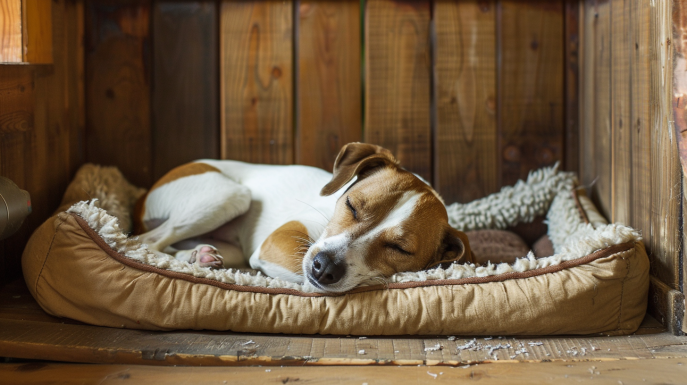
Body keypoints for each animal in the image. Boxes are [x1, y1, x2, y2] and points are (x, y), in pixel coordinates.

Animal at [133, 142, 472, 292]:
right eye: (352, 205)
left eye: (400, 249)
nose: (324, 268)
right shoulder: (276, 243)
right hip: (229, 196)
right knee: (147, 242)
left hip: (230, 245)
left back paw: (197, 257)